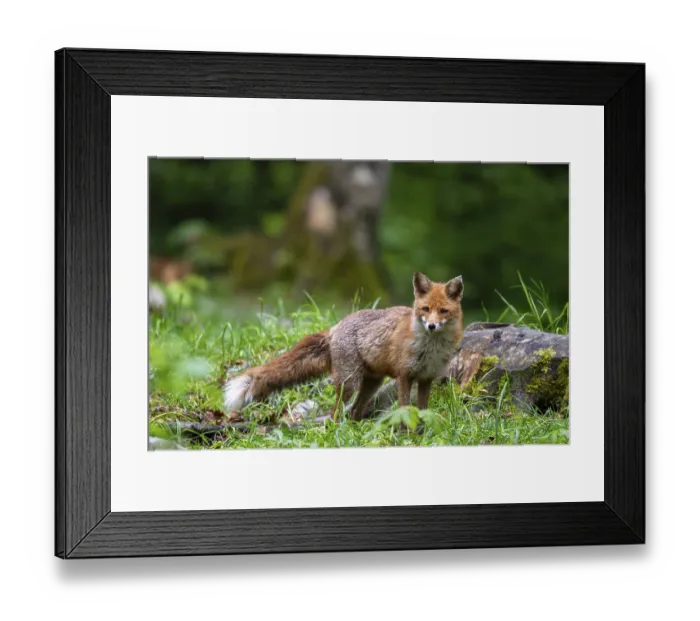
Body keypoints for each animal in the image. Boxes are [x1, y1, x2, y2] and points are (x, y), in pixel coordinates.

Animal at [224, 272, 464, 421]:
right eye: (425, 309)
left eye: (443, 311)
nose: (432, 326)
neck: (430, 348)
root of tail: (336, 325)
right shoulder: (405, 376)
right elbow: (405, 409)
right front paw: (407, 432)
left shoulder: (426, 378)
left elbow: (422, 410)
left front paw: (420, 432)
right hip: (350, 383)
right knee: (336, 412)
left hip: (371, 383)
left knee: (355, 411)